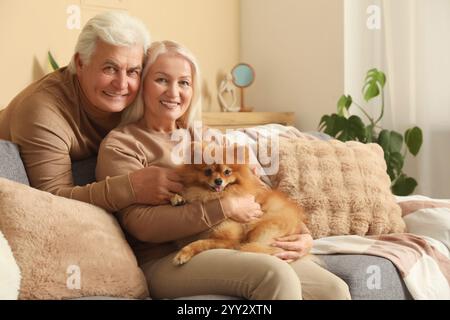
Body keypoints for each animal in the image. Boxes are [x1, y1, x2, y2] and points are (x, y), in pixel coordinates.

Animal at [171, 143, 312, 264]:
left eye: (227, 172)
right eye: (208, 171)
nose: (218, 181)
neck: (213, 196)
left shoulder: (228, 239)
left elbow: (201, 242)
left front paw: (183, 253)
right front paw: (177, 198)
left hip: (261, 229)